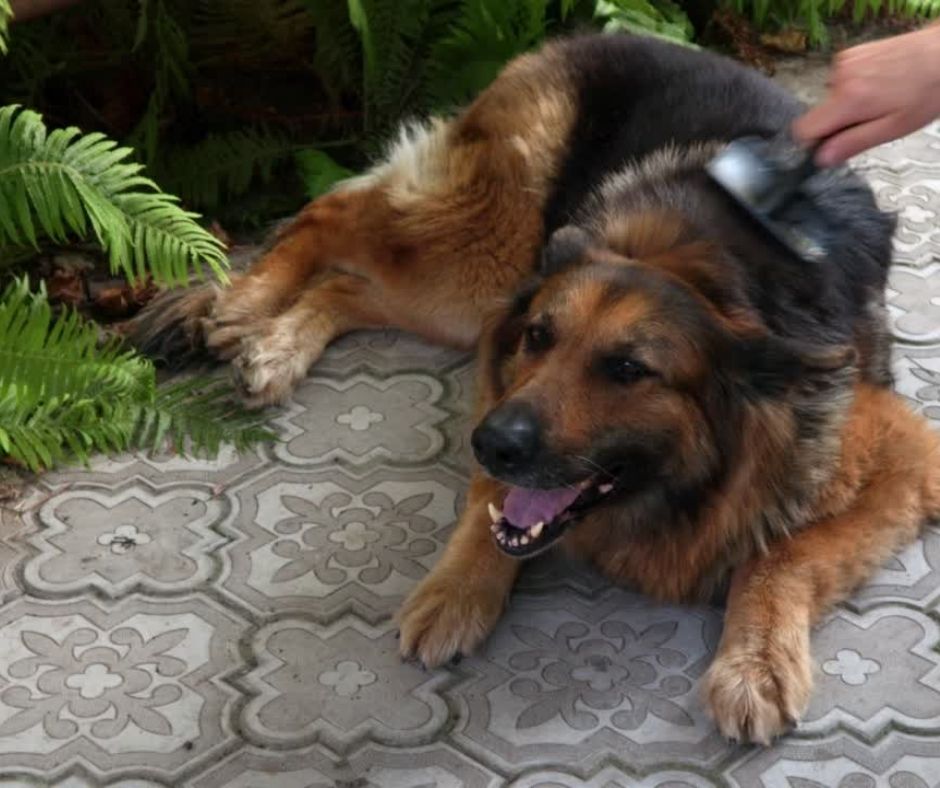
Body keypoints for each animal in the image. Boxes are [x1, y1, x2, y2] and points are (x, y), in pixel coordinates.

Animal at [130, 32, 940, 744]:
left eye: (628, 370)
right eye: (539, 338)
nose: (488, 445)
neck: (705, 268)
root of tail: (595, 35)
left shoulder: (908, 463)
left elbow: (784, 555)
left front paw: (754, 663)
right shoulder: (502, 364)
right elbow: (493, 507)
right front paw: (459, 587)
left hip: (465, 295)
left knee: (346, 284)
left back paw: (275, 343)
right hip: (483, 259)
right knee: (331, 214)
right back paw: (242, 303)